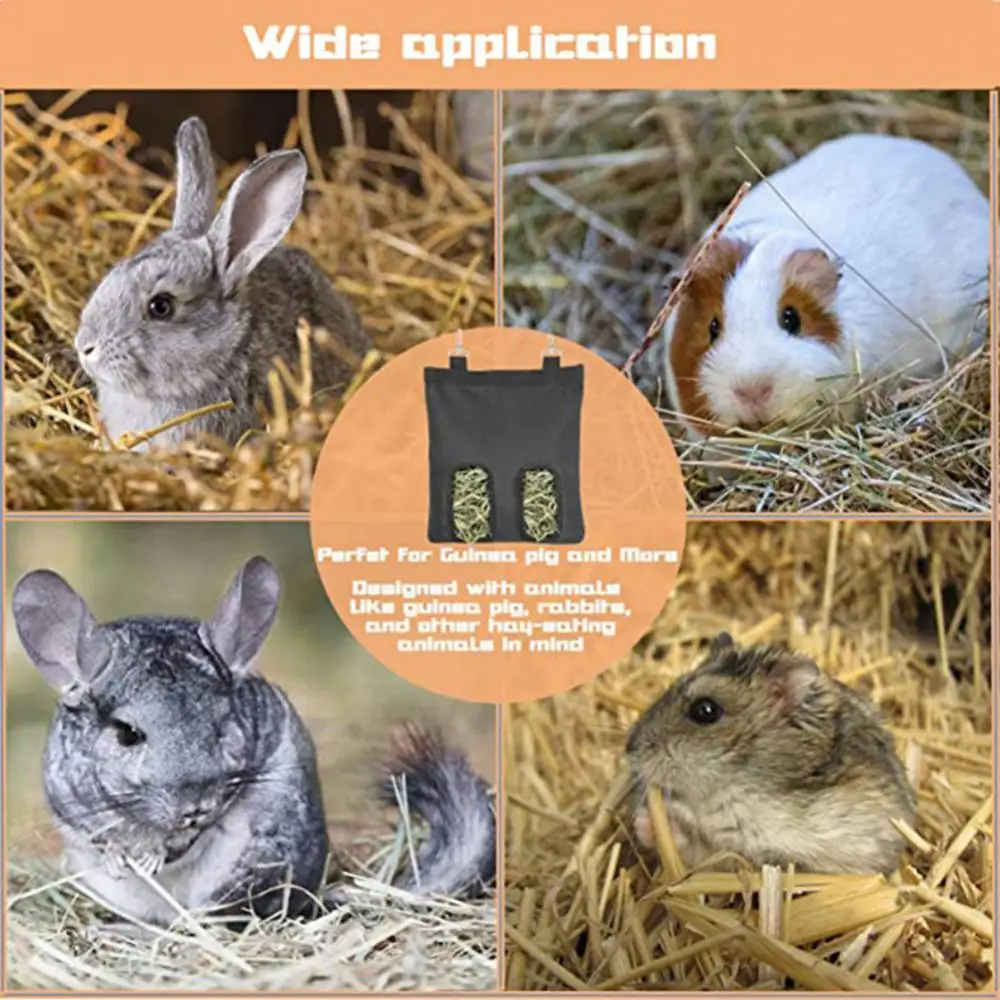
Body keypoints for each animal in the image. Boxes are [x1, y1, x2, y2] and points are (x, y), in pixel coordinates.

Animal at [11, 557, 496, 928]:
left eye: (221, 724)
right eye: (127, 734)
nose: (196, 807)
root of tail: (314, 895)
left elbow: (179, 843)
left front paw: (151, 857)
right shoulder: (70, 802)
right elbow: (105, 834)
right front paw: (122, 857)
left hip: (247, 869)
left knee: (214, 921)